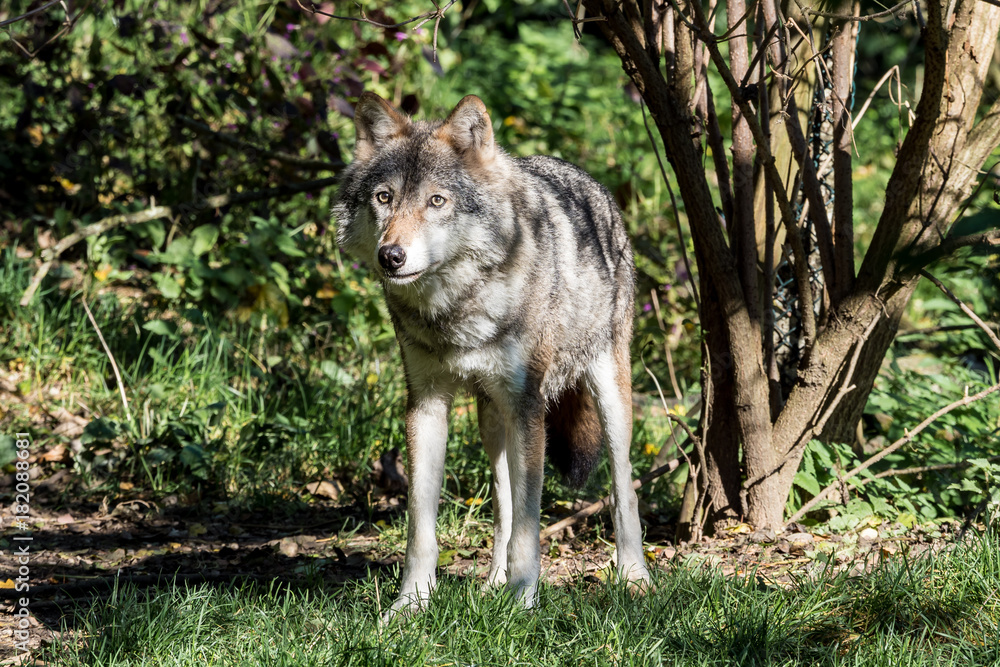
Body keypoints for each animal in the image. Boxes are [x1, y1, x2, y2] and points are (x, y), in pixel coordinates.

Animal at [333, 92, 651, 619]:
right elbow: (422, 528)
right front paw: (411, 604)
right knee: (503, 503)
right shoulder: (426, 405)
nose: (391, 257)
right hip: (491, 421)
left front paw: (524, 601)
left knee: (622, 489)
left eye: (436, 201)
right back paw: (492, 583)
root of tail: (584, 177)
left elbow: (529, 526)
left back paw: (634, 577)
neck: (458, 306)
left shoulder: (528, 408)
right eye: (384, 198)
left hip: (607, 395)